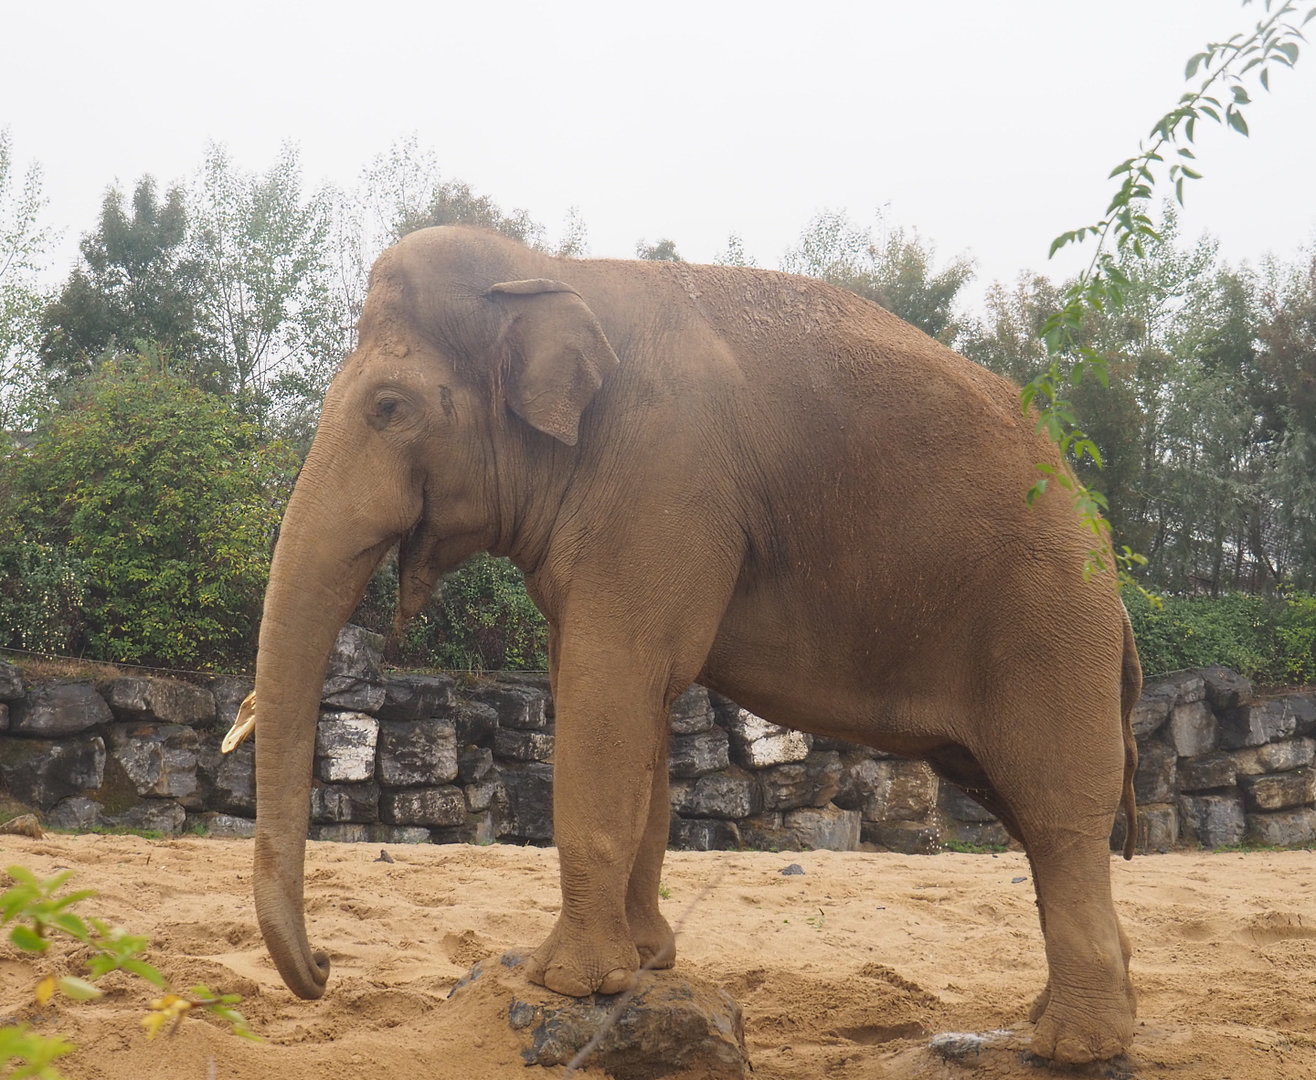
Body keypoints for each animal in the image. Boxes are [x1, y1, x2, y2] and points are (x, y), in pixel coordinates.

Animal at [251, 224, 1142, 1065]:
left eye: (389, 408)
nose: (326, 967)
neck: (551, 269)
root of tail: (1103, 540)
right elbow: (635, 704)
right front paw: (645, 964)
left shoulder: (664, 480)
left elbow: (610, 693)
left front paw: (565, 981)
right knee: (1033, 821)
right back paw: (1079, 1024)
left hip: (1047, 625)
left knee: (1059, 812)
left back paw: (1071, 1046)